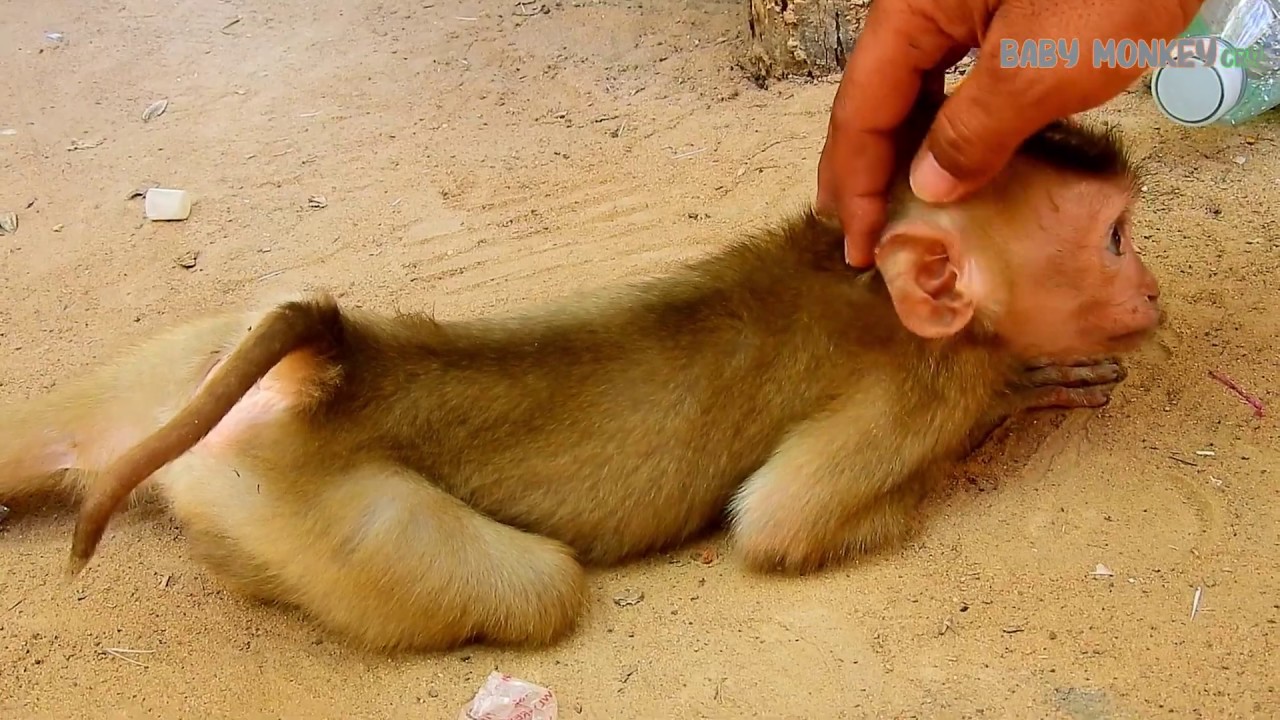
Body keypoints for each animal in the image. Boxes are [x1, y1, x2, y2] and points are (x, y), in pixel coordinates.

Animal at [0, 98, 1163, 653]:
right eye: (1113, 239)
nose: (1149, 288)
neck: (876, 288)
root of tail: (337, 357)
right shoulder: (921, 391)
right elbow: (778, 522)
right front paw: (1024, 393)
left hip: (185, 355)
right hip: (316, 506)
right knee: (540, 587)